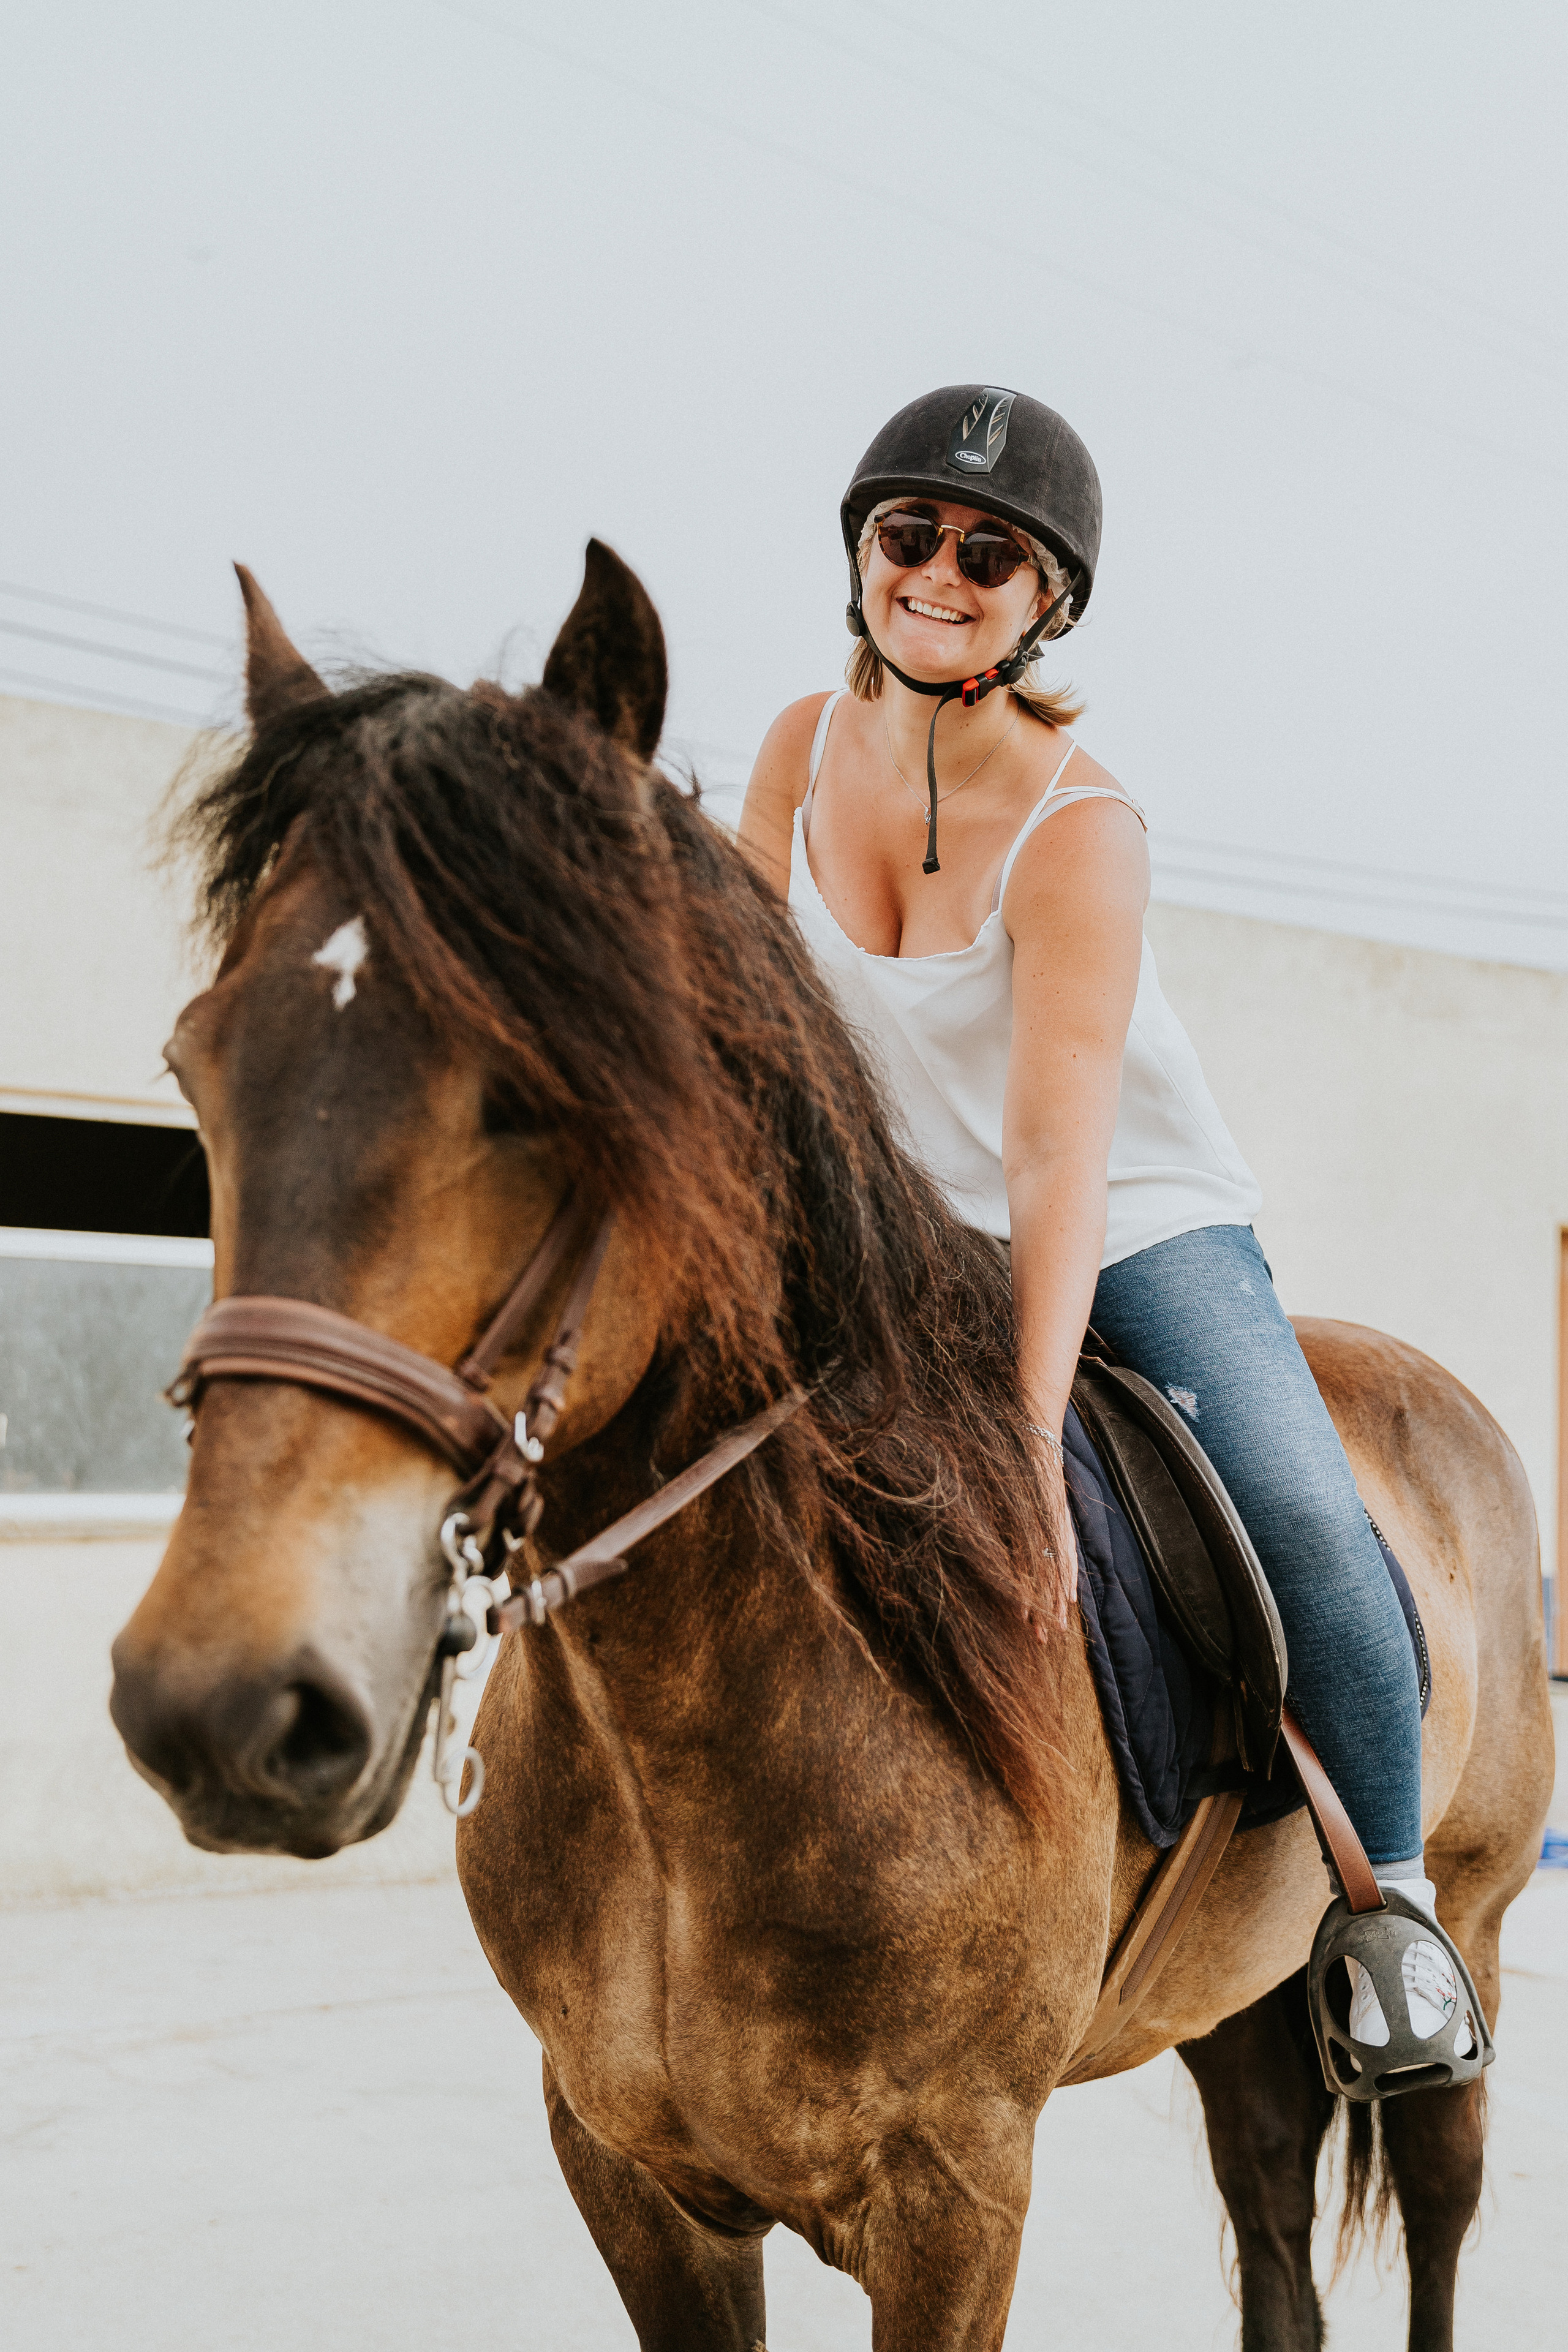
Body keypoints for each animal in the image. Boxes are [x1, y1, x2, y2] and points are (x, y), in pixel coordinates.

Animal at [111, 545, 1554, 2352]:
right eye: (198, 1062)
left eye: (547, 1084)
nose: (223, 1706)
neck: (699, 1730)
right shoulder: (627, 2172)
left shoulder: (954, 2197)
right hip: (1236, 2004)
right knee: (1275, 2227)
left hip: (1464, 1937)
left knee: (1435, 2208)